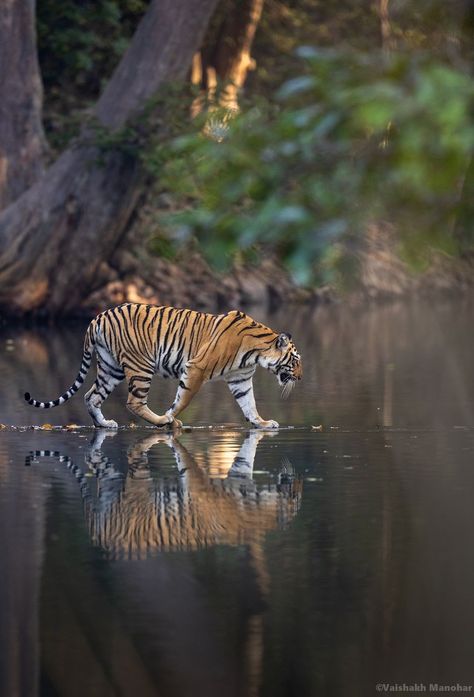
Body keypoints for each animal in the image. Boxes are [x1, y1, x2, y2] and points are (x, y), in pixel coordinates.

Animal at [24, 302, 302, 426]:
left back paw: (104, 424)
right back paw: (162, 421)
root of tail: (98, 317)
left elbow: (249, 404)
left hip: (111, 368)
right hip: (140, 367)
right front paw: (172, 417)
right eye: (295, 361)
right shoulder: (197, 368)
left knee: (91, 396)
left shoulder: (240, 378)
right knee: (133, 402)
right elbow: (183, 399)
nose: (300, 378)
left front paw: (262, 424)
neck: (255, 353)